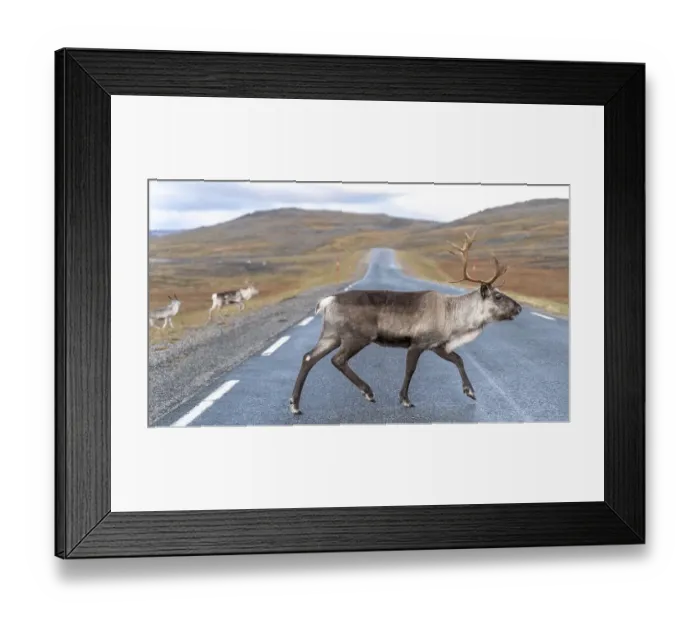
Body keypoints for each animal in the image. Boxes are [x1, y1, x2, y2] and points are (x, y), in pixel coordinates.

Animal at [289, 230, 522, 415]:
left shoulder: (438, 346)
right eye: (498, 296)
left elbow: (459, 359)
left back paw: (295, 405)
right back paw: (368, 392)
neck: (453, 315)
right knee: (337, 360)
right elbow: (410, 370)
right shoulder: (417, 343)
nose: (519, 308)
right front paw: (405, 399)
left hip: (331, 335)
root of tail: (328, 300)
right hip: (356, 337)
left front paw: (470, 391)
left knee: (308, 357)